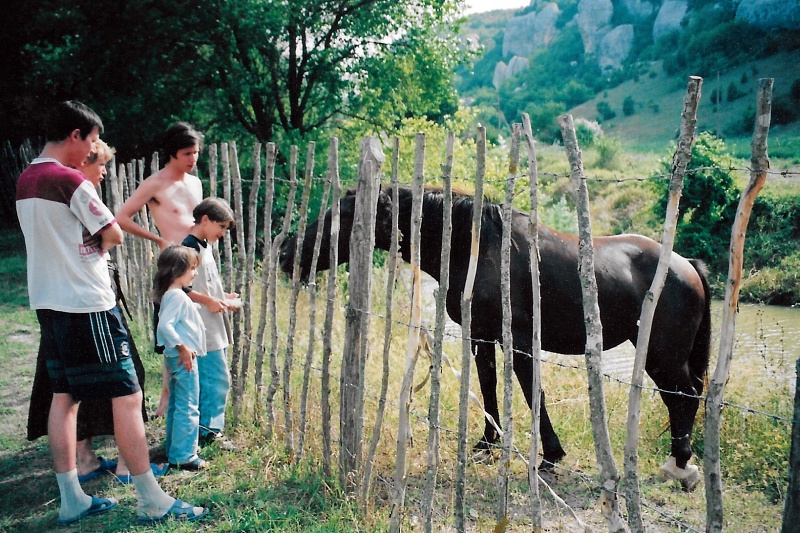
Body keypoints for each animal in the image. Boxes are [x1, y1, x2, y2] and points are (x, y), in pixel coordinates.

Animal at [278, 184, 708, 486]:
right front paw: (487, 444)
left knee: (683, 397)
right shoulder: (482, 337)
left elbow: (532, 393)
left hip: (661, 355)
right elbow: (487, 387)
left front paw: (549, 456)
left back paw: (680, 467)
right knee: (682, 399)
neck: (476, 248)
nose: (285, 252)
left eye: (340, 216)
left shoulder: (518, 341)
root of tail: (686, 264)